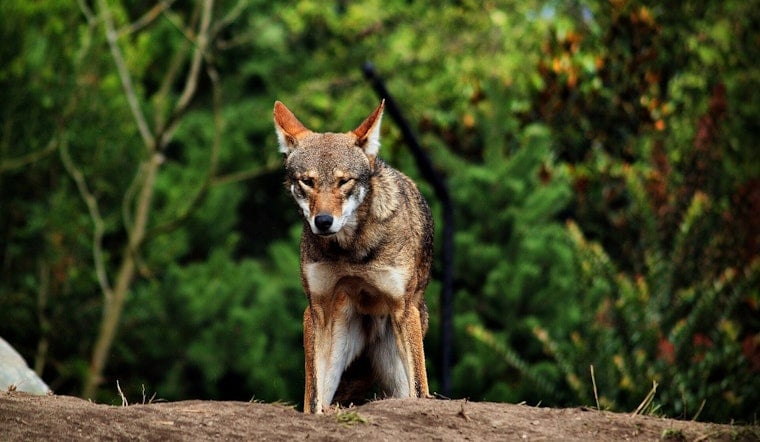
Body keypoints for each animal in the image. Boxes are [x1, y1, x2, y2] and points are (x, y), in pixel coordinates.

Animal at [273, 100, 433, 414]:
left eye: (343, 181)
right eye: (307, 182)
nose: (323, 221)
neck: (351, 250)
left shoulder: (403, 307)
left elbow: (420, 391)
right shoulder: (317, 308)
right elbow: (313, 399)